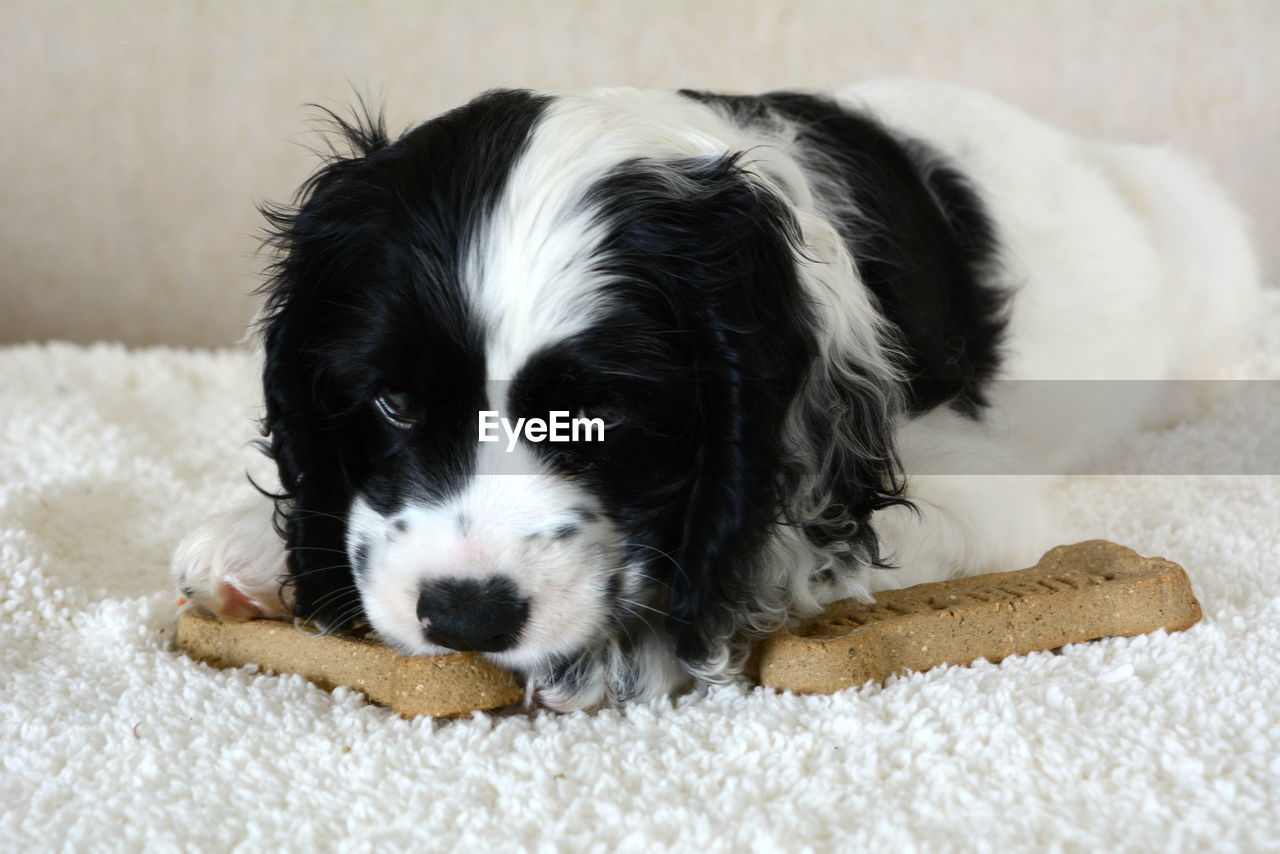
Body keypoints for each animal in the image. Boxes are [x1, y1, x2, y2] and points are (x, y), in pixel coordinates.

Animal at [172, 80, 1259, 711]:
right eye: (392, 405)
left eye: (602, 415)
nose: (466, 613)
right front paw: (251, 543)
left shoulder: (964, 485)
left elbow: (787, 533)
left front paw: (630, 641)